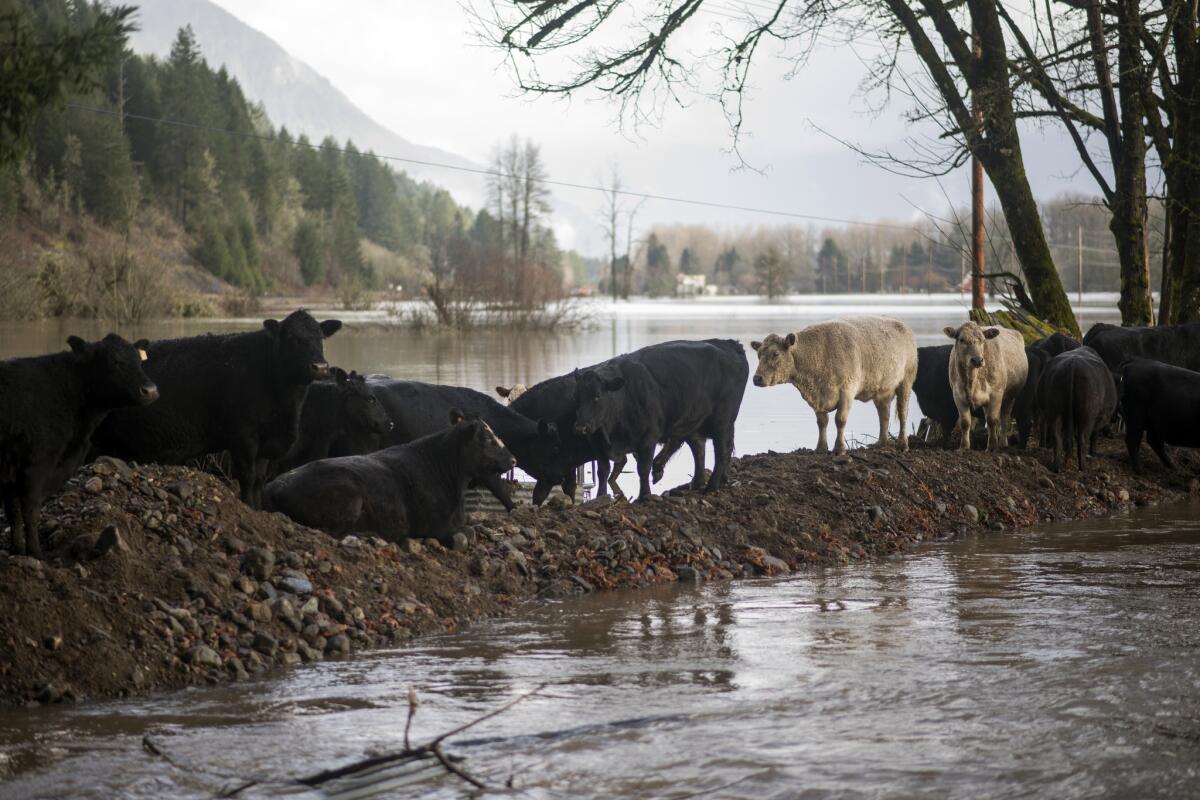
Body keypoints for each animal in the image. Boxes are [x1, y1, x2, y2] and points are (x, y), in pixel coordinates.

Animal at [1, 335, 158, 554]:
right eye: (114, 362)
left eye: (139, 361)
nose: (150, 390)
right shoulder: (35, 465)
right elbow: (30, 510)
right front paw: (35, 552)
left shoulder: (11, 472)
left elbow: (13, 512)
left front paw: (17, 549)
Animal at [90, 309, 338, 510]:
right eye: (292, 338)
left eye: (320, 337)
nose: (320, 367)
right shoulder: (243, 436)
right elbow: (247, 476)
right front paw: (248, 506)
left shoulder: (266, 443)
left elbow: (259, 479)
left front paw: (258, 509)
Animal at [265, 410, 513, 546]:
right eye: (489, 440)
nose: (513, 460)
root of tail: (273, 485)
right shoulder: (432, 526)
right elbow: (467, 534)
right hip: (349, 498)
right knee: (329, 532)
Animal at [568, 340, 744, 501]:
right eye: (576, 397)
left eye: (597, 397)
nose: (580, 427)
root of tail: (730, 344)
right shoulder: (596, 442)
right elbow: (603, 471)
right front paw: (601, 497)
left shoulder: (648, 438)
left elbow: (643, 468)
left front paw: (644, 495)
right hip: (692, 422)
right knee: (699, 447)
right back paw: (696, 484)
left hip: (722, 421)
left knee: (721, 451)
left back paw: (711, 487)